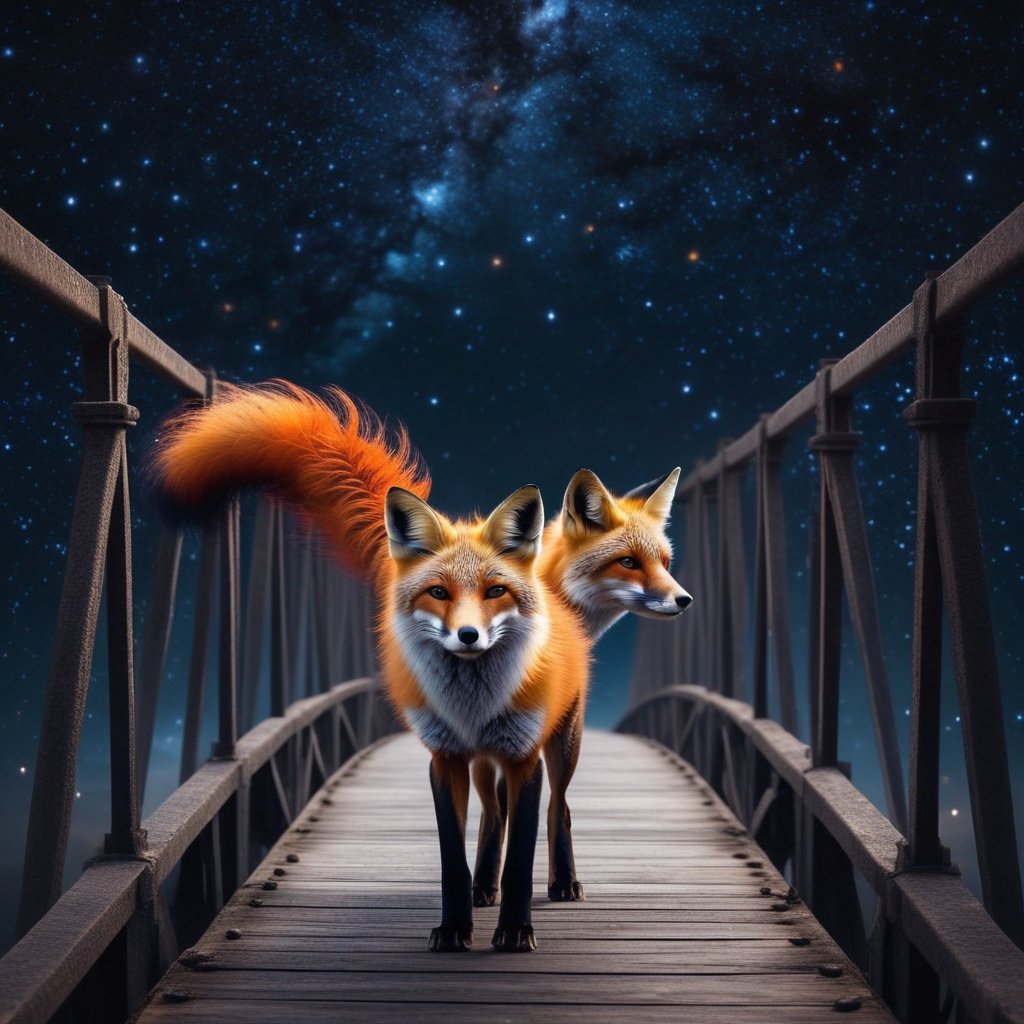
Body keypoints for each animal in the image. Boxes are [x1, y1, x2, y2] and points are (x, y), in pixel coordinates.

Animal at [151, 380, 590, 952]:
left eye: (495, 591)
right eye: (438, 592)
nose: (468, 636)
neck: (472, 704)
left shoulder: (522, 758)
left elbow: (521, 858)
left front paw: (515, 931)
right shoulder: (445, 758)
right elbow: (452, 857)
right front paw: (455, 927)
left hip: (559, 747)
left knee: (558, 810)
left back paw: (562, 884)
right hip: (482, 763)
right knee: (494, 817)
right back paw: (482, 889)